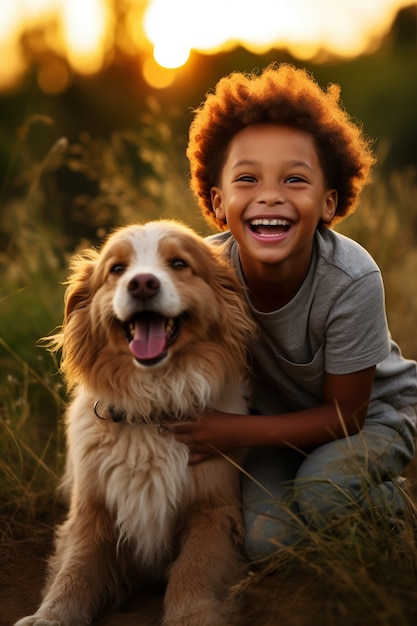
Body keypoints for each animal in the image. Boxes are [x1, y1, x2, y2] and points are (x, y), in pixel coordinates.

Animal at [15, 219, 254, 624]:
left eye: (178, 264)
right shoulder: (91, 508)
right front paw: (51, 615)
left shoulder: (214, 508)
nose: (142, 283)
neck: (150, 409)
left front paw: (192, 616)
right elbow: (75, 569)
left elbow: (194, 568)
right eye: (117, 269)